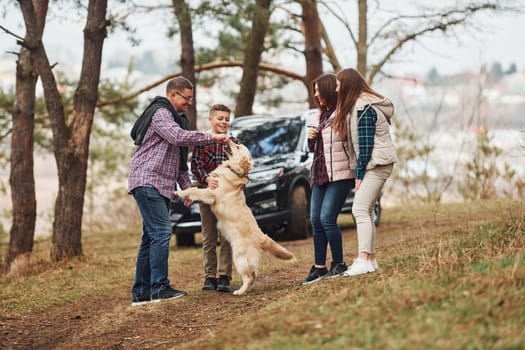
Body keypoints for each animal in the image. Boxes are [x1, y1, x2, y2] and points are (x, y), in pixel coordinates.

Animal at [173, 139, 292, 296]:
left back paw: (239, 291)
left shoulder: (210, 194)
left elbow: (194, 191)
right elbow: (196, 186)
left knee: (249, 277)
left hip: (239, 258)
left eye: (237, 146)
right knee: (254, 275)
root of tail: (262, 238)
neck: (231, 170)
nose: (228, 138)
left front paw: (178, 193)